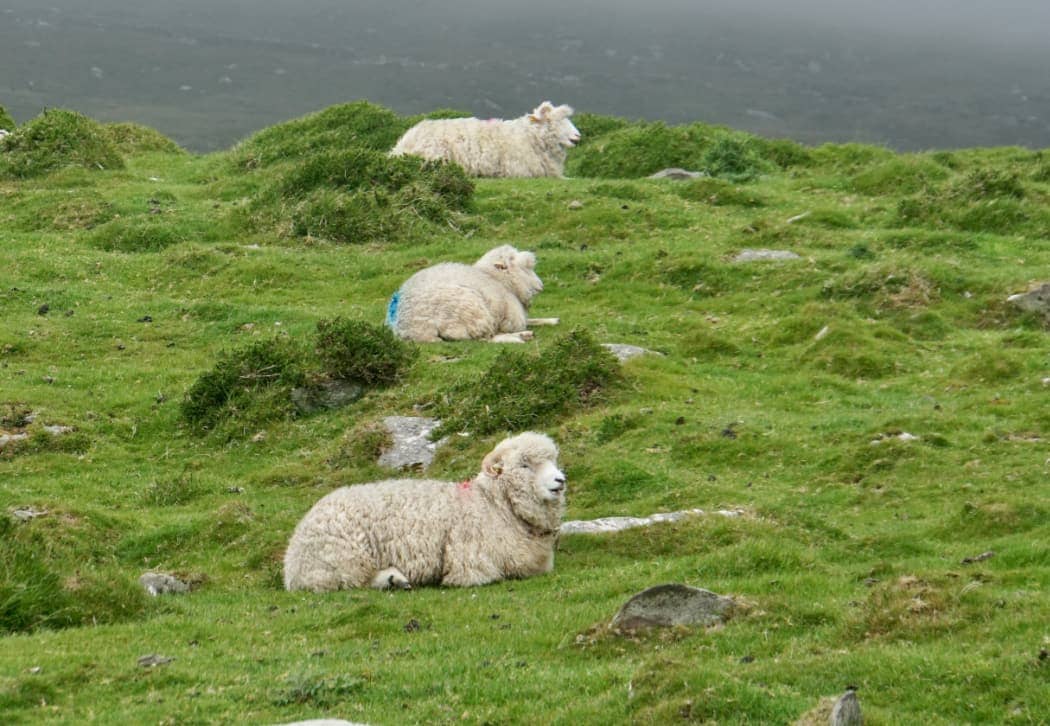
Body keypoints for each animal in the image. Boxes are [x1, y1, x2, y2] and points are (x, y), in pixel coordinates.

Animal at [281, 430, 567, 592]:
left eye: (553, 460)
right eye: (524, 465)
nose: (560, 480)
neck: (494, 506)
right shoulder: (472, 563)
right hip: (344, 560)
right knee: (353, 581)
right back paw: (392, 580)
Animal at [386, 243, 558, 344]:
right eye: (525, 268)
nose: (541, 286)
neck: (496, 280)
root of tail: (411, 329)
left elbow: (533, 319)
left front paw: (551, 320)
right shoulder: (509, 319)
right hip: (475, 313)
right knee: (486, 339)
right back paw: (521, 336)